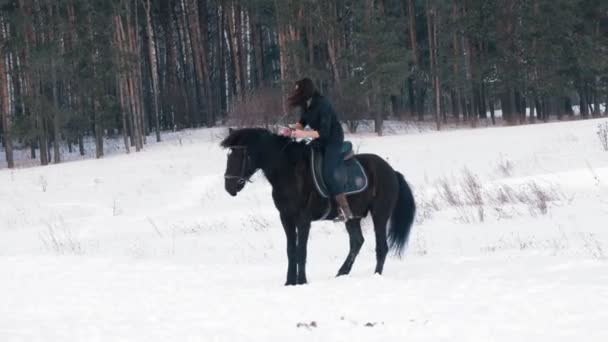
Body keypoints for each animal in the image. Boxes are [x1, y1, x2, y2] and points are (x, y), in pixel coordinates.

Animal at [221, 127, 416, 284]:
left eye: (240, 155)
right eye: (229, 155)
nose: (229, 187)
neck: (289, 172)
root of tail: (391, 171)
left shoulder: (303, 219)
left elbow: (301, 251)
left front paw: (301, 281)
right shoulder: (286, 217)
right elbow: (291, 250)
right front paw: (289, 282)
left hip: (380, 215)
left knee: (381, 247)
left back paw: (376, 276)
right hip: (352, 217)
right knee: (357, 242)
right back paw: (341, 273)